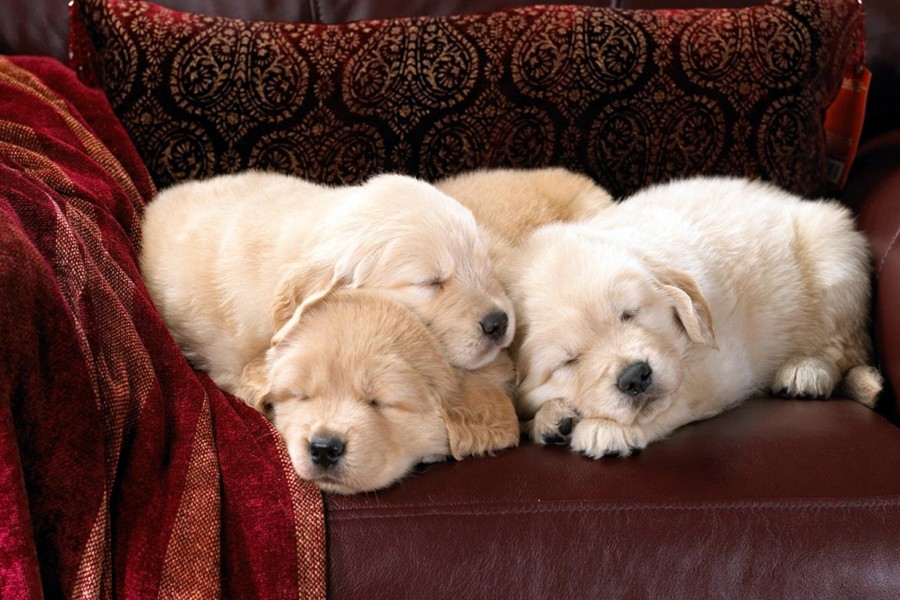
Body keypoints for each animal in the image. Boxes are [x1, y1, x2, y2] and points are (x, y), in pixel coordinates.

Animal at [502, 176, 884, 458]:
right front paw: (551, 417)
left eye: (630, 314)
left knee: (846, 350)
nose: (635, 376)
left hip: (836, 266)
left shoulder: (722, 369)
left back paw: (806, 371)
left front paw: (607, 429)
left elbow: (673, 398)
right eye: (569, 361)